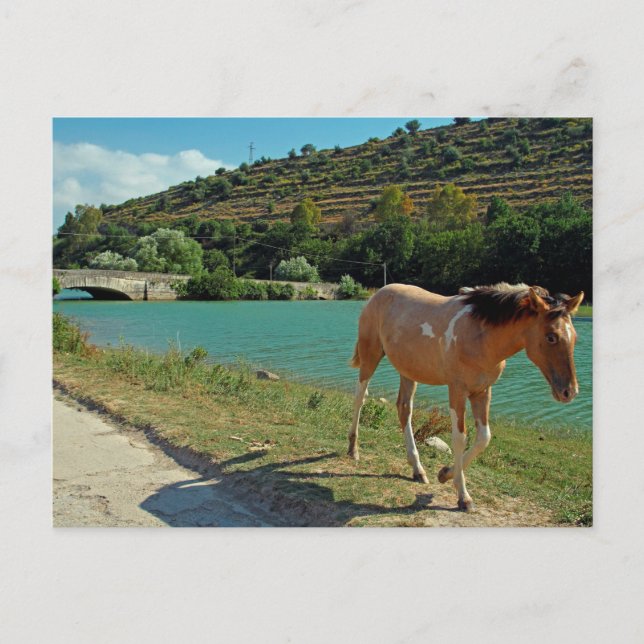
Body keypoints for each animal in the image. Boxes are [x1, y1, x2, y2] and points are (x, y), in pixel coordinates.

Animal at [348, 282, 584, 512]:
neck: (481, 336)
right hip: (370, 356)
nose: (569, 392)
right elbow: (460, 438)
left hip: (408, 371)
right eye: (551, 337)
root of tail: (378, 294)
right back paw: (353, 450)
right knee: (360, 397)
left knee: (404, 409)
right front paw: (463, 497)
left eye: (575, 337)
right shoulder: (457, 391)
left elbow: (483, 438)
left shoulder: (482, 391)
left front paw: (445, 474)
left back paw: (418, 469)